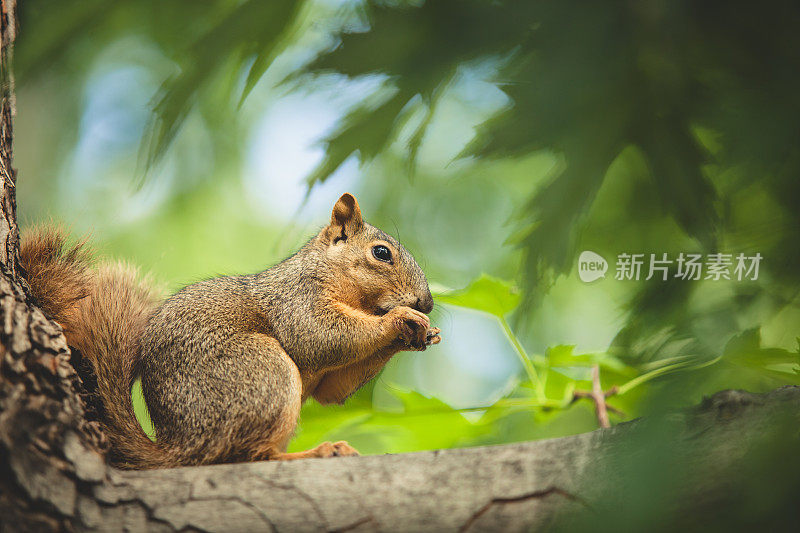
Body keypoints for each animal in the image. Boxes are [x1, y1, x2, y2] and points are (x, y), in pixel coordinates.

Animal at [20, 193, 444, 468]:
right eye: (381, 253)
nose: (426, 303)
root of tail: (182, 446)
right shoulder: (297, 301)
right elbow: (320, 337)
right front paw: (401, 319)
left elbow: (332, 391)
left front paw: (422, 335)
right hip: (260, 370)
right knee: (251, 455)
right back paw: (316, 452)